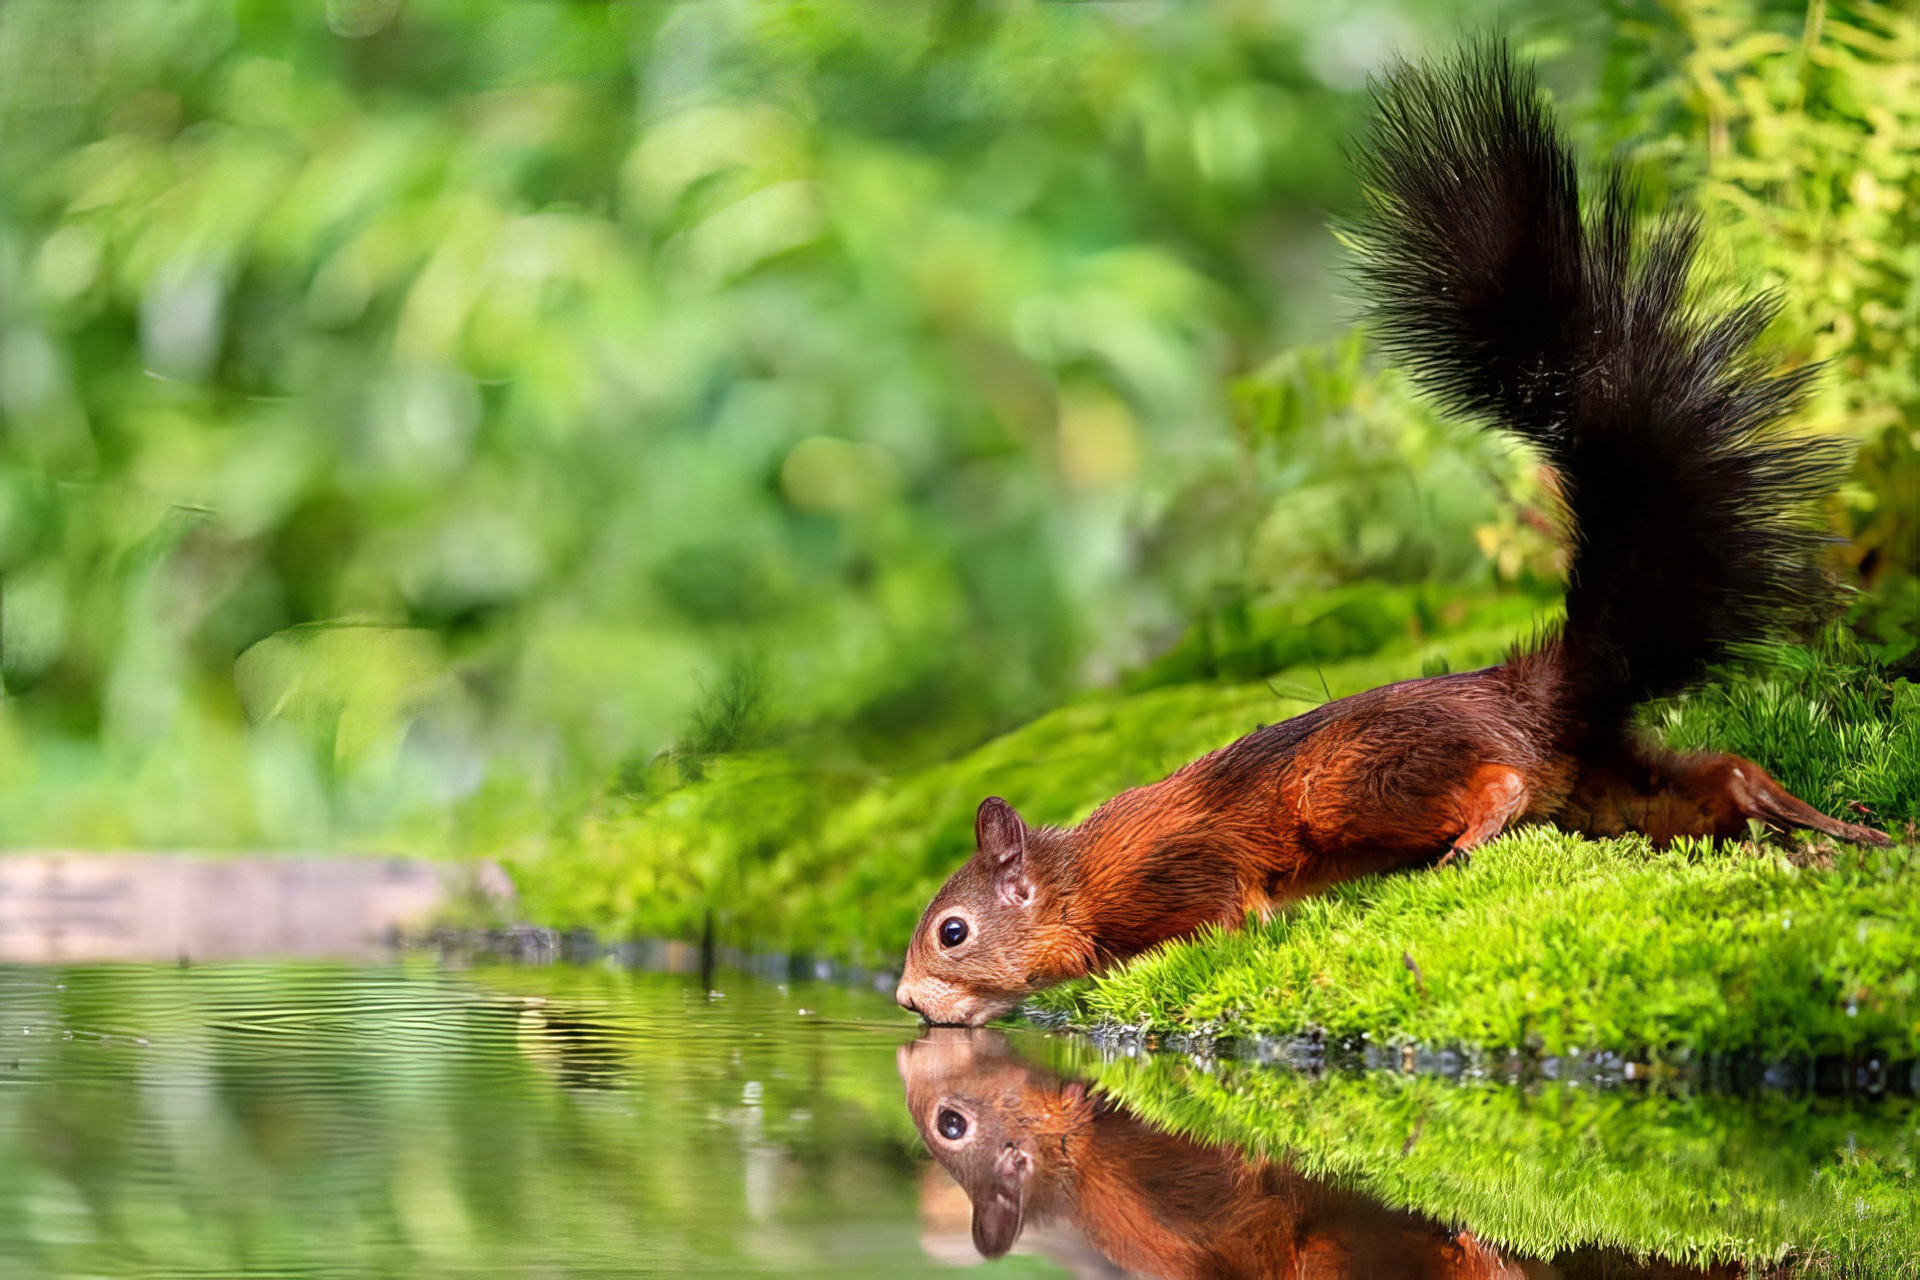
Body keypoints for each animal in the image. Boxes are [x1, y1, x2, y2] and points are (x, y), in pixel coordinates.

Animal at [895, 42, 1891, 1028]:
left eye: (953, 932)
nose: (904, 1000)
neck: (1078, 883)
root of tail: (1528, 697)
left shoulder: (1182, 868)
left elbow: (1228, 904)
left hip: (1355, 784)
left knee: (1502, 782)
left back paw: (1477, 832)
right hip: (1603, 785)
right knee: (1711, 778)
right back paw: (1834, 823)